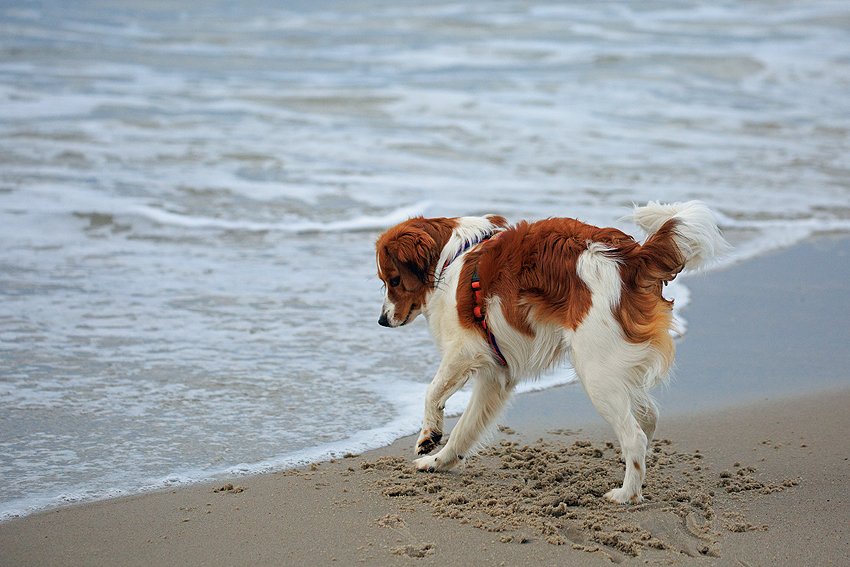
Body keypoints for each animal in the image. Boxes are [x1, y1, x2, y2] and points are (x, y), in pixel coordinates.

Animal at [374, 202, 724, 504]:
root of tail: (631, 257)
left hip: (596, 373)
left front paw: (428, 436)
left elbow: (432, 392)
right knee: (649, 418)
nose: (381, 321)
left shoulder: (465, 351)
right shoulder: (495, 375)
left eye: (394, 280)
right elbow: (465, 429)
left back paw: (627, 494)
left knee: (635, 435)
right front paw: (440, 461)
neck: (451, 260)